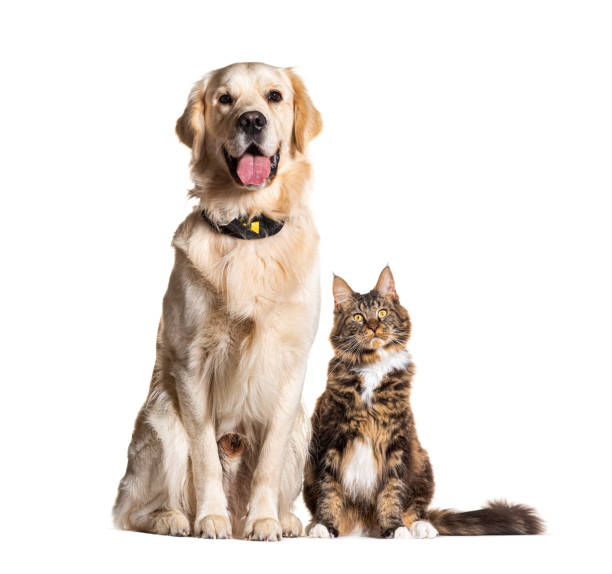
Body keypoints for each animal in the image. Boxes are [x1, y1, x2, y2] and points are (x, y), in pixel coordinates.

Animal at [116, 64, 326, 544]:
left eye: (274, 96)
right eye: (225, 99)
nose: (252, 120)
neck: (249, 228)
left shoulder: (292, 365)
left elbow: (268, 462)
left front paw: (265, 522)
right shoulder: (192, 363)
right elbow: (205, 459)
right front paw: (210, 519)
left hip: (303, 424)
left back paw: (286, 521)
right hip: (162, 418)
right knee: (132, 510)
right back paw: (175, 519)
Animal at [304, 266, 544, 540]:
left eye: (382, 312)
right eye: (358, 317)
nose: (374, 326)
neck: (373, 367)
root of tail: (364, 527)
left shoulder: (396, 442)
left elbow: (391, 492)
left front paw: (394, 527)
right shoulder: (331, 438)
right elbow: (329, 490)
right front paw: (325, 525)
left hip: (421, 462)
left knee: (418, 510)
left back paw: (421, 527)